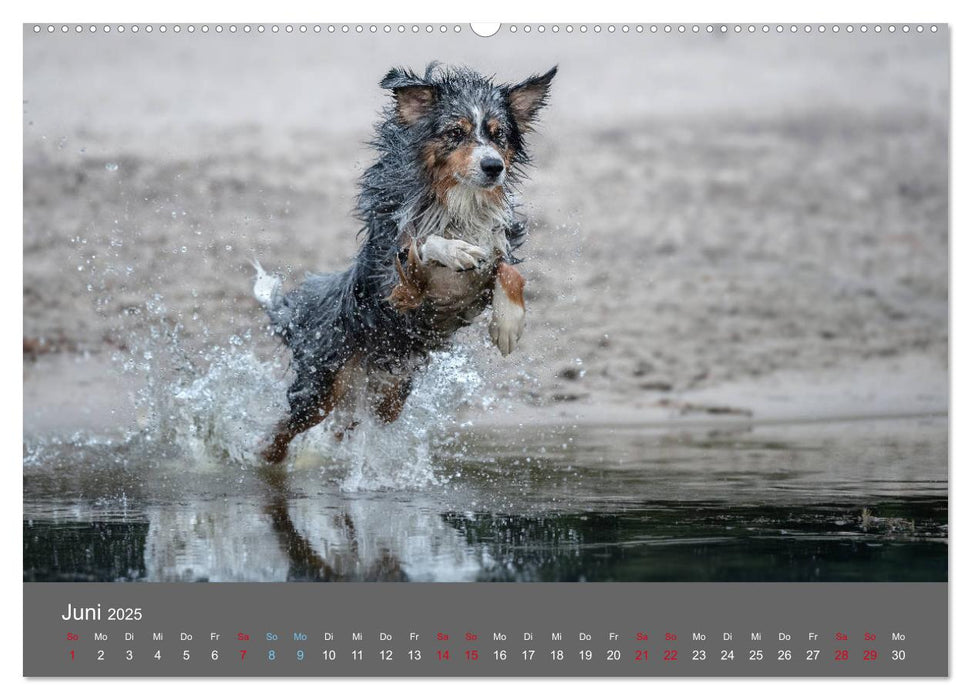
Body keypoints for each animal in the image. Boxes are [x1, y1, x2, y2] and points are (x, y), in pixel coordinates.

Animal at [254, 63, 560, 462]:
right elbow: (421, 243)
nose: (493, 166)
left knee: (345, 427)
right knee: (277, 437)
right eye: (455, 132)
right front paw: (454, 251)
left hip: (387, 395)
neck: (458, 206)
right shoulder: (398, 286)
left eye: (499, 135)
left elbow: (508, 270)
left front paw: (509, 323)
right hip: (319, 388)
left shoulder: (492, 253)